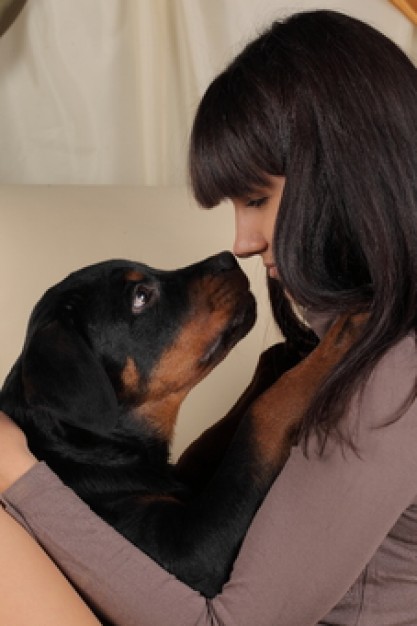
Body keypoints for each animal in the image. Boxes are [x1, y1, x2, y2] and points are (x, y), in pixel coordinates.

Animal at [0, 251, 360, 596]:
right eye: (141, 296)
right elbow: (262, 413)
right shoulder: (191, 549)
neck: (93, 450)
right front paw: (348, 326)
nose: (228, 258)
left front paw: (293, 348)